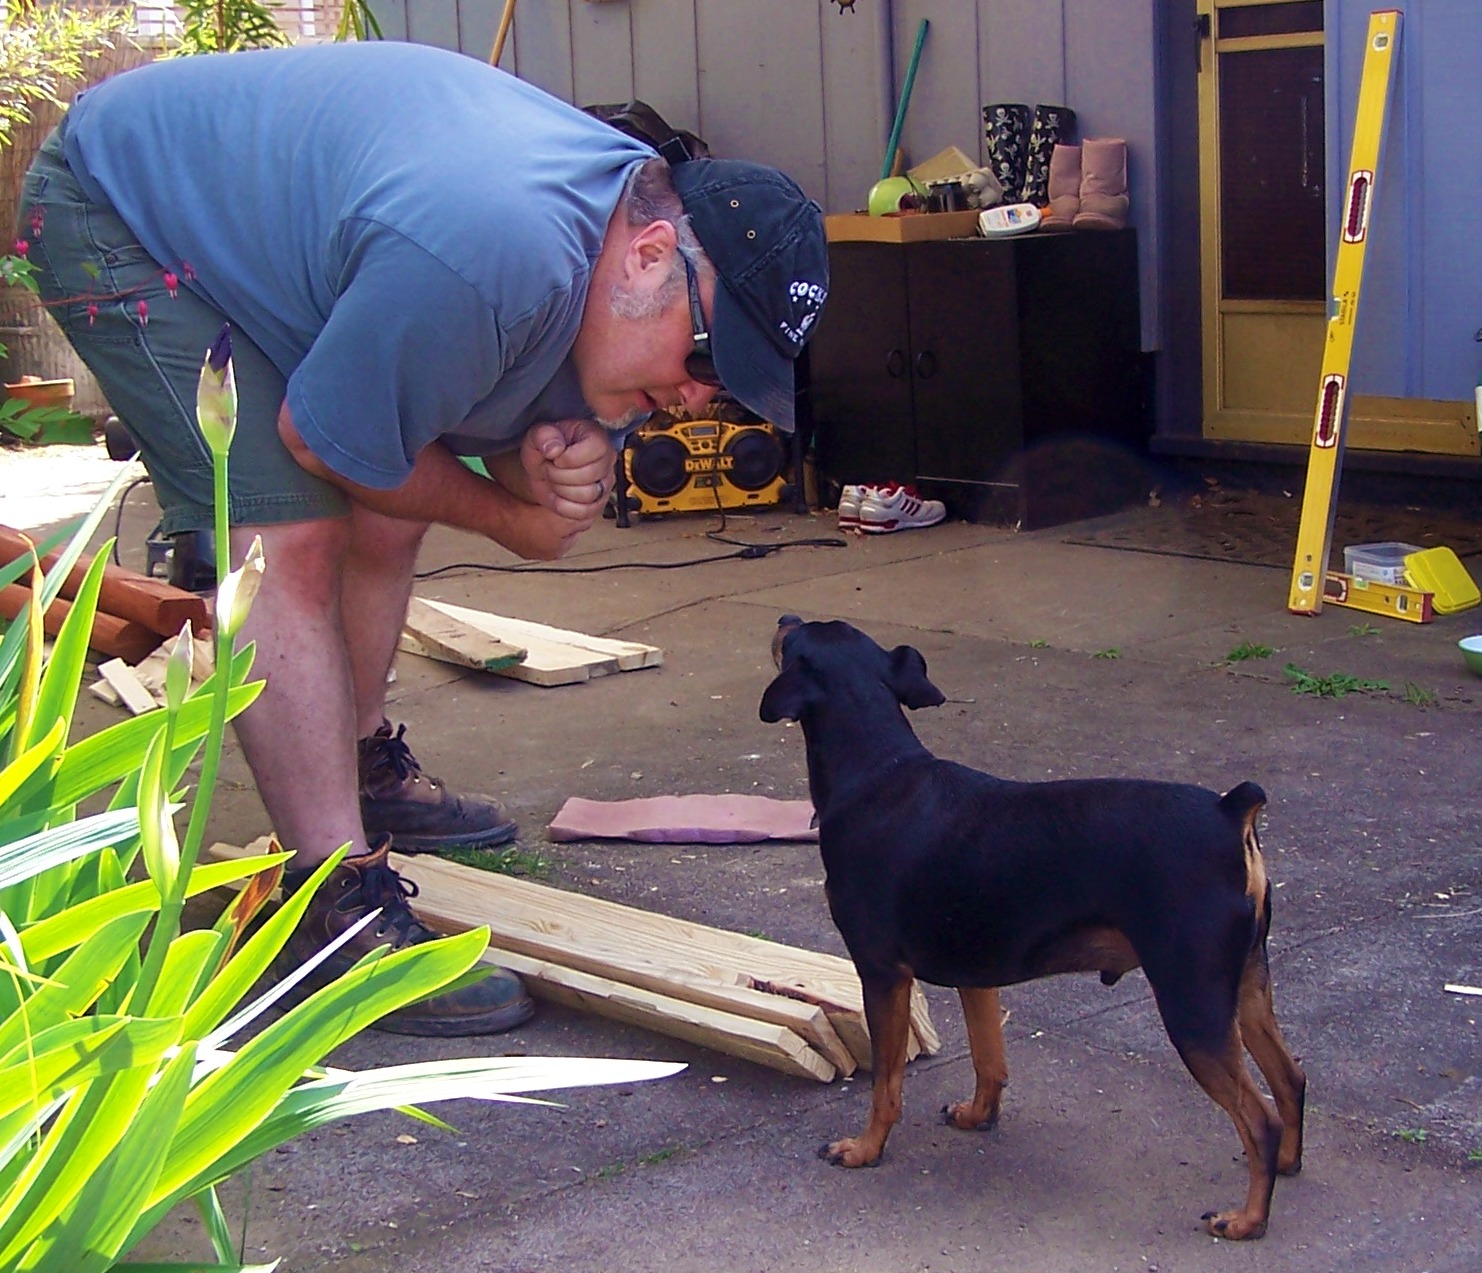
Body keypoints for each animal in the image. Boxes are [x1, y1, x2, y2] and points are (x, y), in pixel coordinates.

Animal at [759, 617, 1306, 1240]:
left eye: (795, 637)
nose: (782, 618)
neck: (878, 773)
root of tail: (1230, 812)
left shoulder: (882, 975)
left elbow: (887, 1085)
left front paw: (865, 1149)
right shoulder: (976, 976)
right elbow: (989, 1060)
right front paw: (978, 1115)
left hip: (1195, 1006)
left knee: (1259, 1117)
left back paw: (1246, 1219)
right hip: (1248, 989)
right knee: (1291, 1080)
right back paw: (1287, 1163)